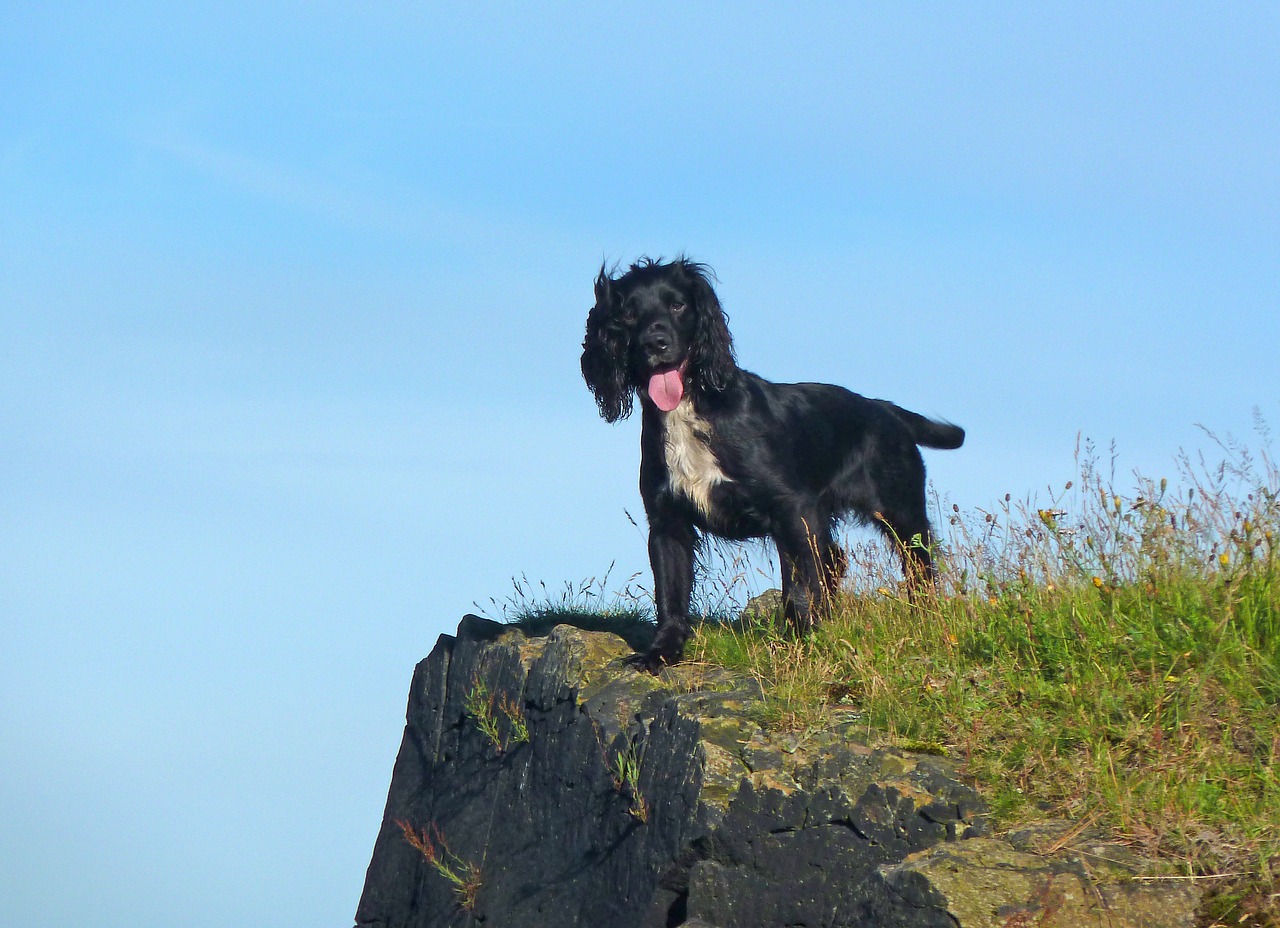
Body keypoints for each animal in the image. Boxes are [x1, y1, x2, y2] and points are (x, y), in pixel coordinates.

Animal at [581, 257, 962, 670]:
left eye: (678, 305)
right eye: (629, 314)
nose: (656, 343)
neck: (691, 409)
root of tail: (887, 410)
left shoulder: (792, 510)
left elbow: (798, 586)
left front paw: (802, 642)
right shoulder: (667, 520)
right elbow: (670, 593)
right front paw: (661, 652)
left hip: (901, 513)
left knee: (918, 568)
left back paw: (925, 620)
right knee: (835, 560)